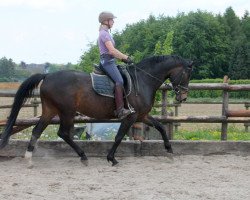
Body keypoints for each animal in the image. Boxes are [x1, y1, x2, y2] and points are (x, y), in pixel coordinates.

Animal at [0, 54, 193, 166]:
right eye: (187, 74)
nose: (183, 97)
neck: (144, 80)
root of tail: (47, 75)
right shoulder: (131, 117)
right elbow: (119, 136)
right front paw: (112, 158)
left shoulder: (142, 115)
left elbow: (161, 128)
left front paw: (170, 152)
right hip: (67, 112)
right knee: (63, 133)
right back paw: (83, 157)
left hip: (50, 110)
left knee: (37, 130)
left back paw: (29, 159)